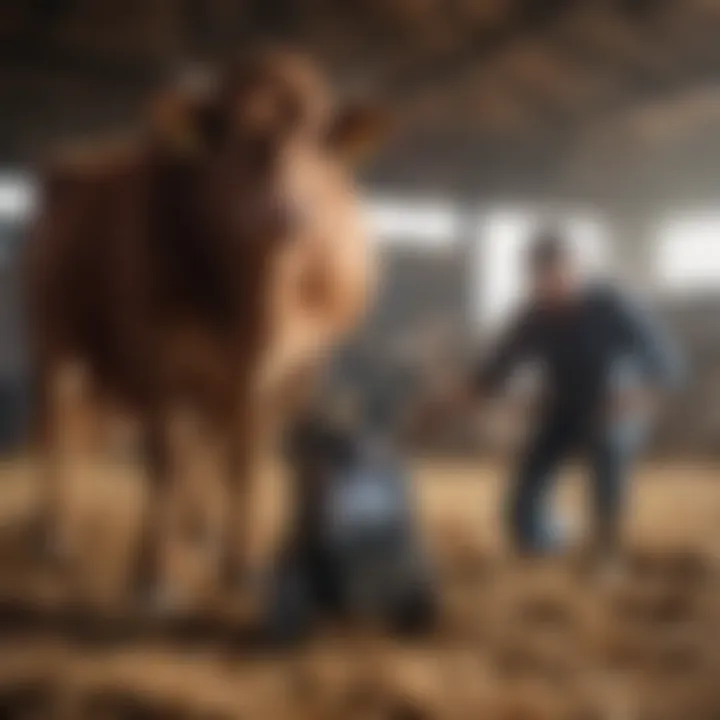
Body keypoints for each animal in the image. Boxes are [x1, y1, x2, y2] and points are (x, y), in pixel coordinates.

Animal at [25, 46, 380, 600]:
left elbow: (246, 460)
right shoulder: (157, 356)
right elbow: (167, 460)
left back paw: (201, 530)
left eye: (320, 142)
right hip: (52, 338)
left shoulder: (294, 370)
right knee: (58, 425)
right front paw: (153, 575)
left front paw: (242, 566)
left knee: (206, 443)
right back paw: (54, 533)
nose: (286, 214)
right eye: (233, 135)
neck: (257, 306)